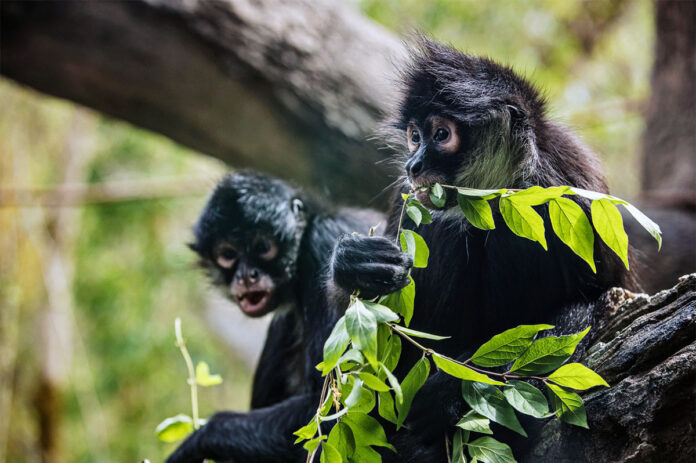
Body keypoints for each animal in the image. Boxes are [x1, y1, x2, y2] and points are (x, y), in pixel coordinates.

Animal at [166, 171, 386, 462]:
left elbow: (333, 407)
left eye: (262, 247)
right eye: (228, 255)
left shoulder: (322, 243)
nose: (246, 276)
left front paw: (195, 442)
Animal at [328, 37, 638, 462]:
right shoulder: (410, 198)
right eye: (414, 136)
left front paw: (455, 391)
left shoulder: (573, 188)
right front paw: (356, 265)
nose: (412, 165)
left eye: (441, 135)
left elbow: (600, 300)